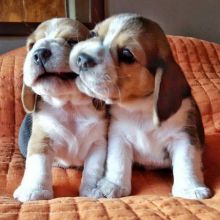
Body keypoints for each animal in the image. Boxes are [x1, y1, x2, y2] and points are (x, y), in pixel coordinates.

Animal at [12, 18, 107, 202]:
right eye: (32, 45)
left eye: (73, 42)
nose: (39, 53)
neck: (69, 105)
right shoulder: (41, 140)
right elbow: (39, 165)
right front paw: (35, 190)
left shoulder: (98, 142)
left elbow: (93, 168)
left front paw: (92, 190)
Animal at [69, 13, 212, 199]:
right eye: (92, 34)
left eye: (127, 54)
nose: (82, 58)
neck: (140, 108)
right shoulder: (119, 136)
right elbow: (118, 161)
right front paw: (113, 185)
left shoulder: (183, 137)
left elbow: (186, 163)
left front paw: (189, 189)